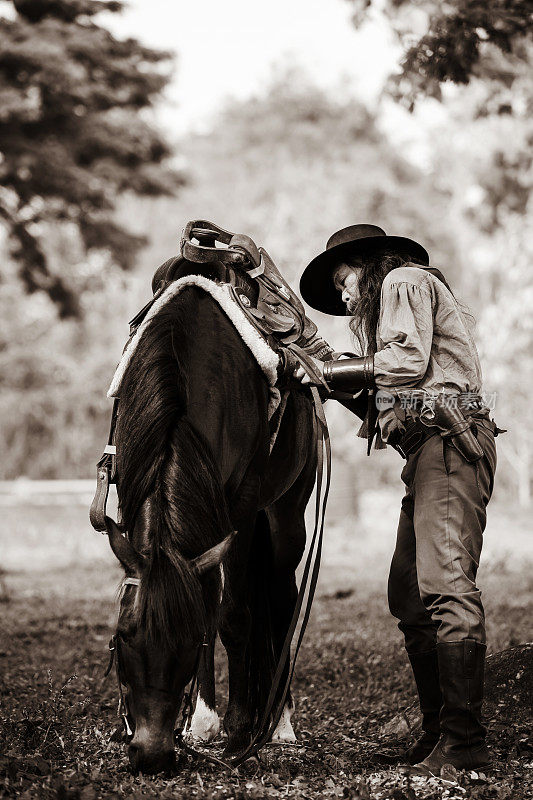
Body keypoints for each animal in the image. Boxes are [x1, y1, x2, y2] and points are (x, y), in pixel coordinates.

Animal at [105, 282, 318, 776]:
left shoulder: (240, 510)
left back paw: (279, 725)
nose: (152, 755)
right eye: (123, 636)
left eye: (186, 642)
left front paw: (239, 729)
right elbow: (207, 600)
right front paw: (204, 721)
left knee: (281, 598)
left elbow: (234, 615)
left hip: (284, 515)